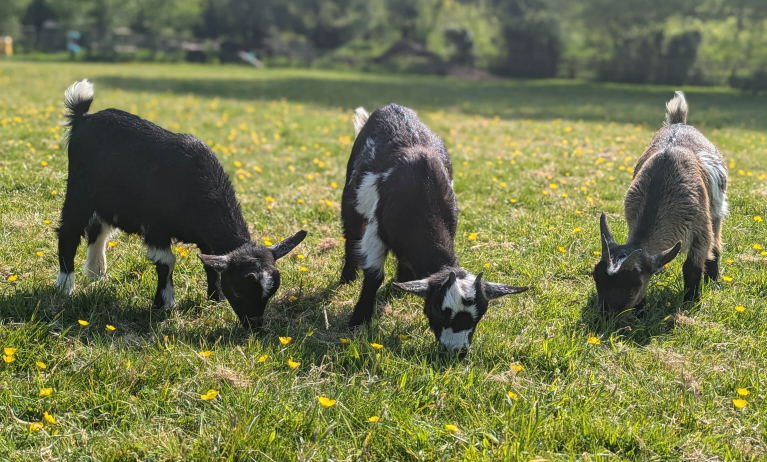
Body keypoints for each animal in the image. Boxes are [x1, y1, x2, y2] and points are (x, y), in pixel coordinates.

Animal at [55, 80, 306, 327]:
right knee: (69, 231)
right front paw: (165, 304)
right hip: (79, 191)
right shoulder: (155, 226)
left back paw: (97, 274)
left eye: (271, 292)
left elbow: (209, 264)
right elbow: (166, 262)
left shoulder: (205, 238)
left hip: (109, 199)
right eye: (238, 290)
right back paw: (65, 286)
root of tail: (84, 118)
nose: (254, 326)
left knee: (98, 229)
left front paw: (215, 299)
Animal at [340, 104, 528, 352]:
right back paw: (347, 277)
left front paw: (401, 286)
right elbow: (373, 276)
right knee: (351, 233)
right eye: (440, 311)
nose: (457, 352)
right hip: (350, 197)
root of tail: (392, 108)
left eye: (480, 315)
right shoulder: (376, 231)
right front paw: (358, 321)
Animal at [594, 91, 728, 311]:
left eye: (635, 285)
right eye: (595, 277)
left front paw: (690, 301)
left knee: (716, 241)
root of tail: (679, 122)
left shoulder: (700, 227)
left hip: (717, 210)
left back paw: (713, 280)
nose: (605, 314)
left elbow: (692, 267)